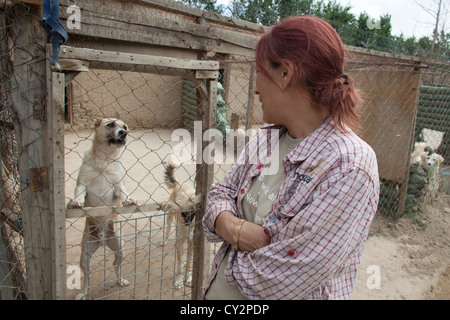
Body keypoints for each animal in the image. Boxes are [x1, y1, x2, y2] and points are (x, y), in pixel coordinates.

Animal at [67, 118, 136, 300]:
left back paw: (121, 280)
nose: (124, 133)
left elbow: (123, 192)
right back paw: (83, 292)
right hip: (85, 256)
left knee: (116, 266)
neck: (105, 159)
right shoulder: (82, 185)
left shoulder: (117, 186)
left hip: (120, 250)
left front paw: (129, 199)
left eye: (125, 127)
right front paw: (74, 202)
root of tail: (102, 240)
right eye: (111, 124)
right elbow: (79, 194)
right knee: (87, 277)